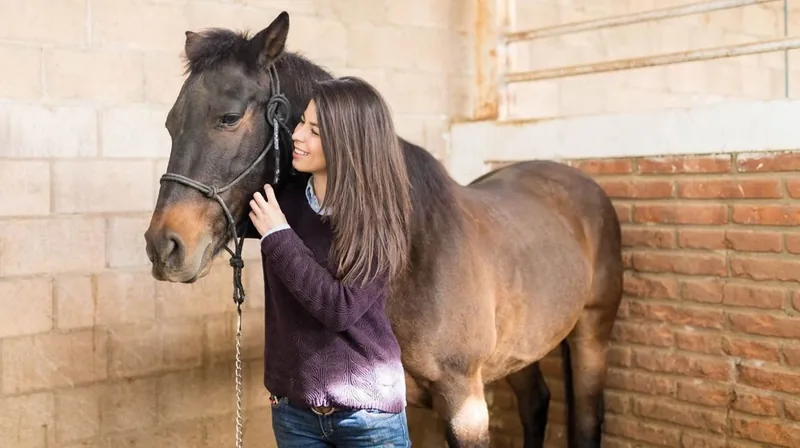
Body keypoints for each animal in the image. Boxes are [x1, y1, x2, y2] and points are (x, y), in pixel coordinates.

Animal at [143, 11, 623, 448]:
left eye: (228, 117)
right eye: (170, 124)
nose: (163, 247)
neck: (415, 253)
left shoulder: (464, 402)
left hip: (592, 333)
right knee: (535, 403)